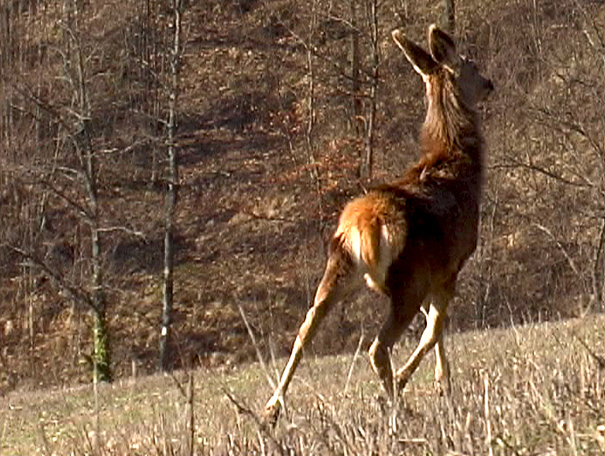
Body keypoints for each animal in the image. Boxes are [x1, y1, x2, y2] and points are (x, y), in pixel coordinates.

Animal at [262, 24, 494, 424]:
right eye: (472, 65)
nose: (490, 83)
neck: (461, 170)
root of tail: (363, 229)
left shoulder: (432, 274)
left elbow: (437, 328)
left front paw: (442, 382)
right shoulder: (449, 264)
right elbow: (434, 329)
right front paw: (419, 381)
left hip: (339, 270)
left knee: (305, 330)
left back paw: (273, 407)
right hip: (406, 278)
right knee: (376, 347)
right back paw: (397, 403)